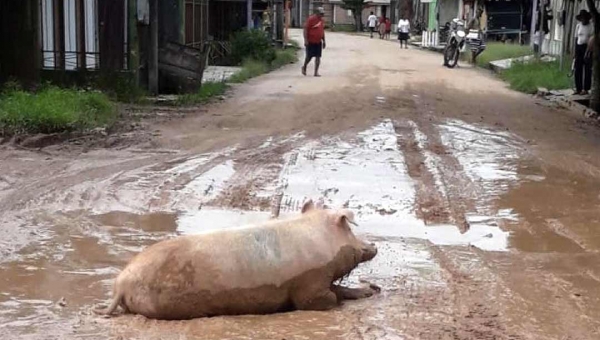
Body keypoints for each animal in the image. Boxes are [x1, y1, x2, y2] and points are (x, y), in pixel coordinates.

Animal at [95, 199, 378, 318]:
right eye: (350, 228)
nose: (374, 245)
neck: (319, 242)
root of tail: (120, 286)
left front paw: (372, 290)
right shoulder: (310, 285)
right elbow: (325, 298)